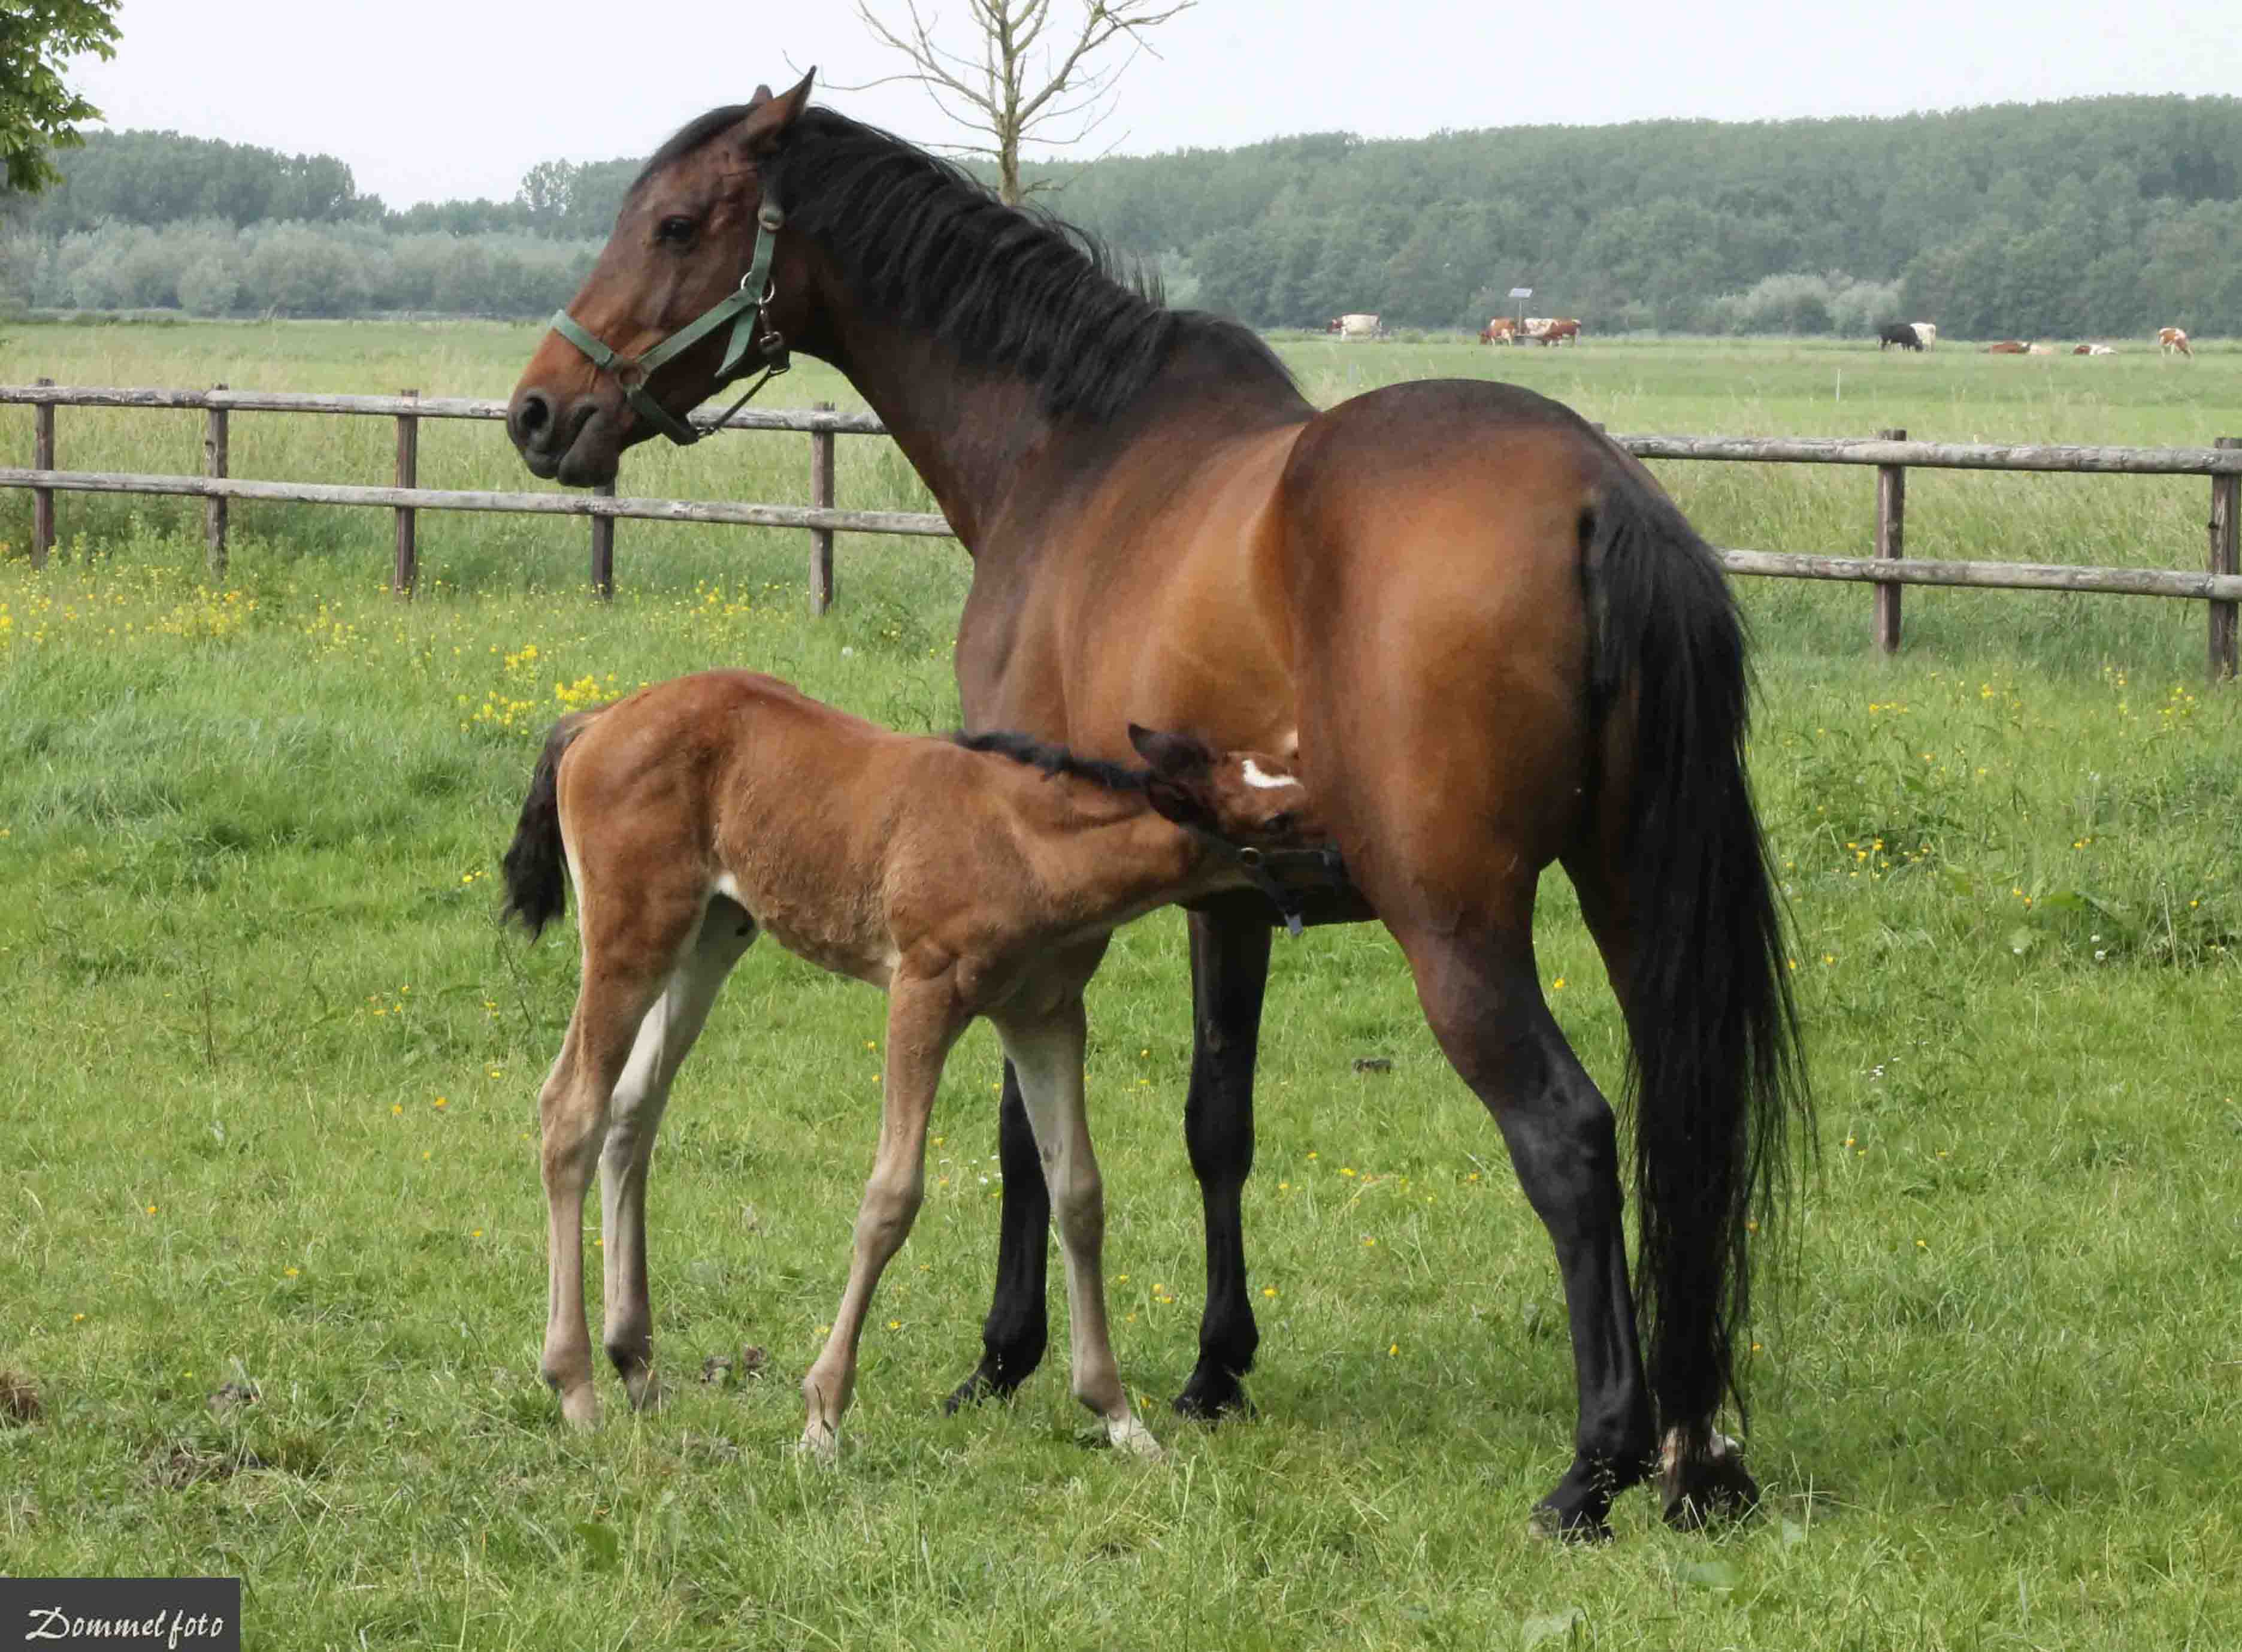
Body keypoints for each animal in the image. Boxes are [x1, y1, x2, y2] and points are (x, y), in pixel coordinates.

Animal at [499, 668, 1325, 1459]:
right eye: (1276, 821)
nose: (1347, 862)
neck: (1029, 847)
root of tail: (597, 719)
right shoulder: (922, 992)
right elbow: (891, 1196)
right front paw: (822, 1417)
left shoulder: (1045, 1014)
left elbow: (1078, 1193)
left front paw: (1119, 1417)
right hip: (630, 931)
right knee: (570, 1108)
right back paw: (575, 1386)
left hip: (710, 932)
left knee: (632, 1110)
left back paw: (636, 1366)